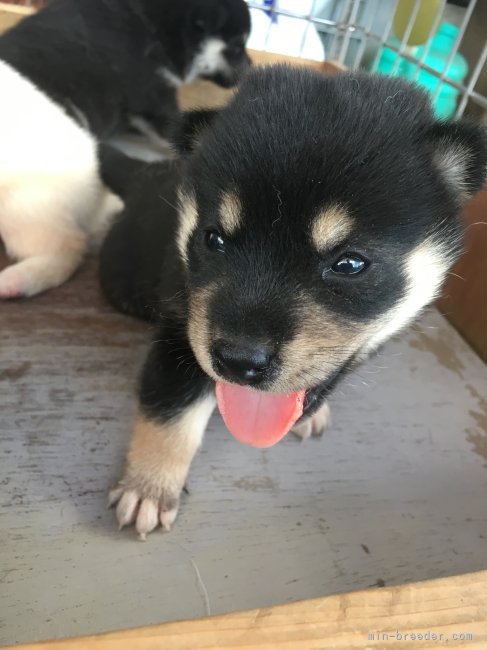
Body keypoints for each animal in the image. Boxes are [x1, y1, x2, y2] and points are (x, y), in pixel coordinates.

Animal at [0, 0, 252, 298]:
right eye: (237, 48)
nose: (252, 66)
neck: (150, 19)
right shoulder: (152, 98)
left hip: (22, 204)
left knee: (68, 246)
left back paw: (16, 280)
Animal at [100, 68, 487, 540]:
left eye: (350, 263)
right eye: (213, 239)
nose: (238, 360)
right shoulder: (179, 332)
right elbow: (171, 413)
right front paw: (149, 488)